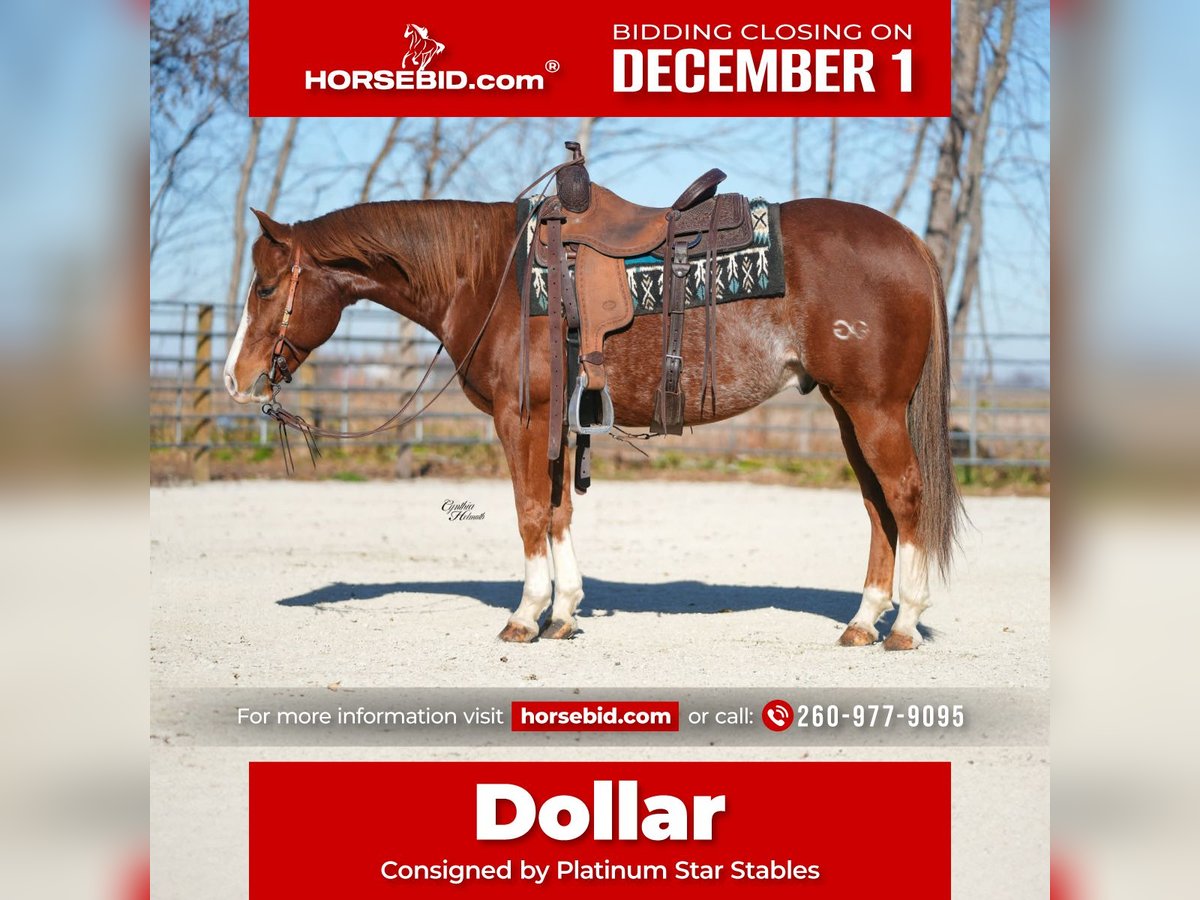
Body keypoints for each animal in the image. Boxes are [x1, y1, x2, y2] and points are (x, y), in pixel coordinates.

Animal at [223, 194, 963, 651]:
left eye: (265, 287)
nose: (235, 377)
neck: (490, 277)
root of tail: (908, 241)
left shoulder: (521, 420)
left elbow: (528, 511)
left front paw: (525, 616)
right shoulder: (557, 426)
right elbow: (556, 512)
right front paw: (564, 612)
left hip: (872, 409)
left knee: (905, 495)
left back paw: (905, 623)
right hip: (848, 410)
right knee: (877, 507)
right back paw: (863, 621)